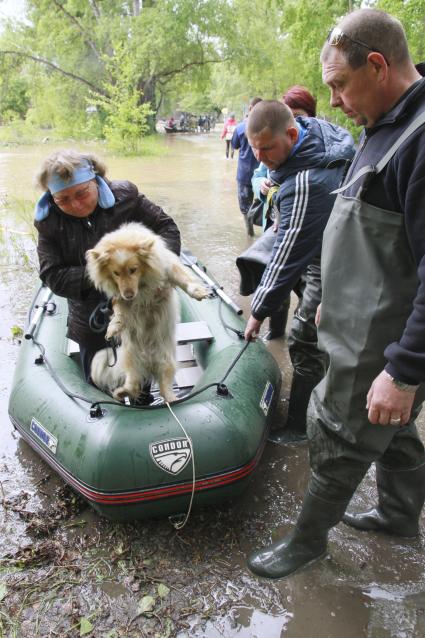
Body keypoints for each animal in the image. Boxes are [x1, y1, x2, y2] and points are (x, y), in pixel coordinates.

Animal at [85, 225, 208, 402]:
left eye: (133, 270)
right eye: (116, 273)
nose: (129, 294)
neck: (142, 284)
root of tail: (148, 362)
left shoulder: (168, 268)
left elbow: (183, 278)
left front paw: (198, 292)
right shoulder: (119, 297)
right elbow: (119, 310)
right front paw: (114, 327)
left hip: (166, 361)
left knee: (164, 386)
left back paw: (171, 398)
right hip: (131, 360)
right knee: (133, 385)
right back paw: (121, 393)